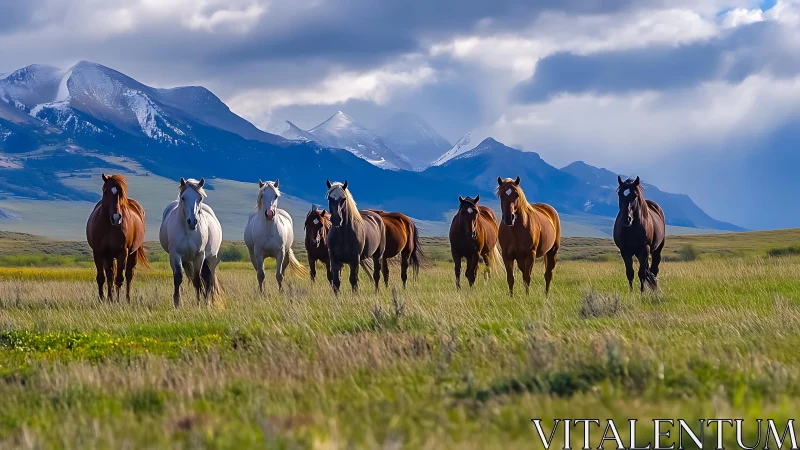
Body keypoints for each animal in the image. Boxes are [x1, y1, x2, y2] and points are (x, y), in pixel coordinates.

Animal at [86, 174, 149, 303]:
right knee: (110, 275)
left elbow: (119, 278)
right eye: (105, 191)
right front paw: (103, 299)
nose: (116, 217)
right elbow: (103, 277)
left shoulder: (123, 252)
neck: (109, 226)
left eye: (120, 192)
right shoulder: (99, 252)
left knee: (129, 275)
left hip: (132, 253)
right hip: (108, 256)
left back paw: (127, 299)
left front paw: (117, 301)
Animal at [159, 178, 223, 307]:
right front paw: (177, 303)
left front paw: (198, 303)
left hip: (211, 258)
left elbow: (197, 279)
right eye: (183, 197)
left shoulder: (199, 255)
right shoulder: (175, 255)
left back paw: (207, 302)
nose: (192, 222)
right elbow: (178, 277)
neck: (187, 231)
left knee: (209, 278)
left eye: (200, 198)